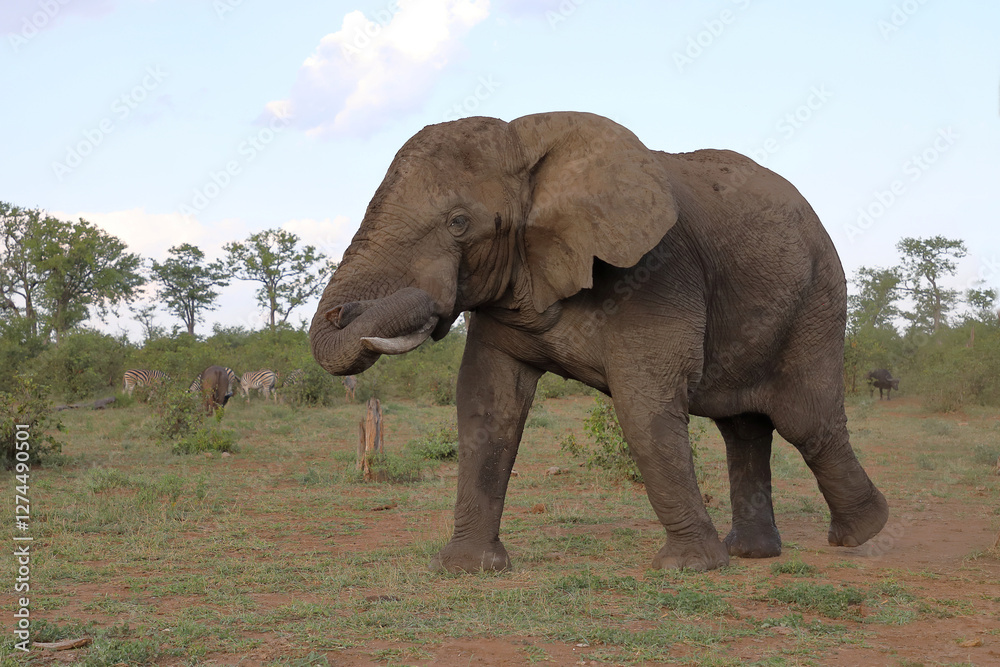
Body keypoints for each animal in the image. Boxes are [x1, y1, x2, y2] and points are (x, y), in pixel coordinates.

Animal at [309, 111, 889, 572]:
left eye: (458, 223)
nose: (343, 311)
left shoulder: (658, 270)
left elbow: (643, 403)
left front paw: (688, 569)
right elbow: (485, 403)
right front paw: (466, 569)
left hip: (817, 297)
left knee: (804, 419)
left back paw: (864, 534)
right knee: (743, 428)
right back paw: (754, 553)